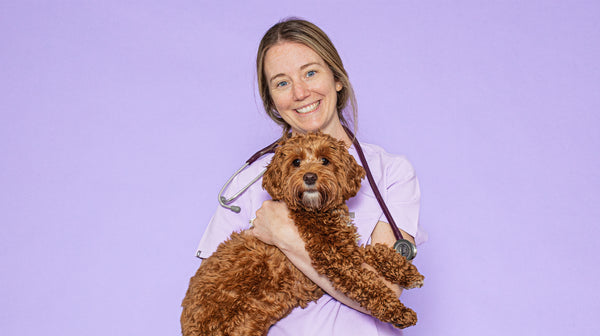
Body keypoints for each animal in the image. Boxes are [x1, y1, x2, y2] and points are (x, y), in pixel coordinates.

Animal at [180, 132, 424, 336]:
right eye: (296, 162)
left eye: (325, 160)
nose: (309, 177)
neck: (315, 211)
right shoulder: (335, 261)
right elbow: (369, 284)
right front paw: (400, 312)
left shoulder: (345, 249)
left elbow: (376, 250)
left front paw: (407, 272)